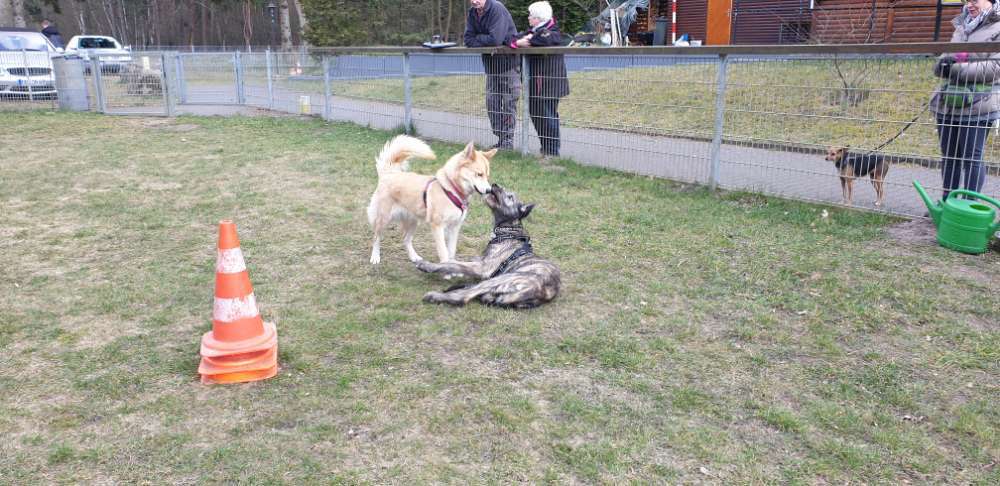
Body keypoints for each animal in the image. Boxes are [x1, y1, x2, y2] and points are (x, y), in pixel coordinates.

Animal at [366, 136, 494, 266]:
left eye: (487, 176)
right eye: (479, 174)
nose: (490, 190)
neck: (451, 189)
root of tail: (390, 173)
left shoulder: (454, 227)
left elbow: (451, 251)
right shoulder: (437, 226)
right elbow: (443, 252)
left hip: (413, 221)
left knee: (406, 239)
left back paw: (414, 257)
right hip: (384, 219)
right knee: (376, 237)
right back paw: (375, 257)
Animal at [410, 182, 560, 308]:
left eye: (510, 197)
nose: (495, 184)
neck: (509, 229)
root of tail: (544, 293)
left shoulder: (483, 267)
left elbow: (451, 263)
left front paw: (427, 265)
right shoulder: (480, 260)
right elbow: (458, 262)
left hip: (499, 279)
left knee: (464, 297)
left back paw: (435, 296)